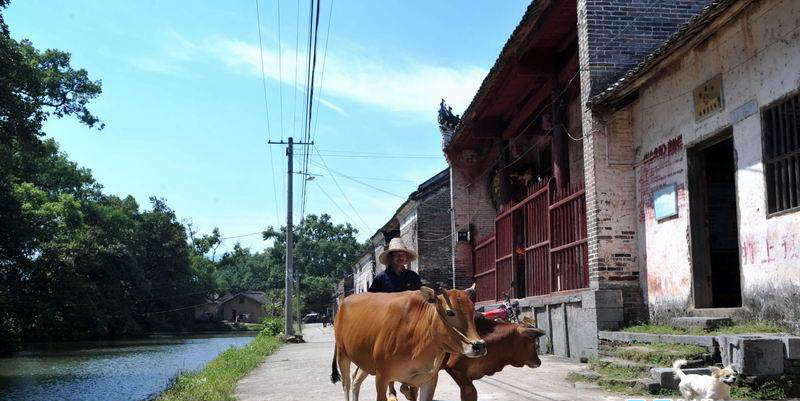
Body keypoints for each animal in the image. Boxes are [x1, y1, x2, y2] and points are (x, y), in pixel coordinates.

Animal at [332, 284, 488, 400]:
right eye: (450, 312)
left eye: (473, 310)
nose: (479, 345)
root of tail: (343, 303)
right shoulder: (382, 377)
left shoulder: (429, 379)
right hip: (342, 353)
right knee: (346, 383)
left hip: (365, 361)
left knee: (356, 380)